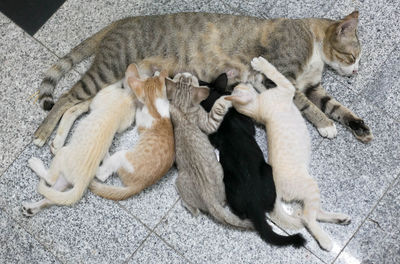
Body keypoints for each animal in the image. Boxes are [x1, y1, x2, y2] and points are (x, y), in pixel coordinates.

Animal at [20, 64, 139, 217]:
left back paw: (35, 164)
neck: (130, 98)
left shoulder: (103, 96)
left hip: (62, 156)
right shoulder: (124, 122)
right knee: (52, 197)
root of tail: (81, 183)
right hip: (64, 182)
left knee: (49, 180)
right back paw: (31, 208)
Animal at [33, 11, 372, 147]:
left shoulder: (313, 86)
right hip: (109, 70)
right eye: (352, 56)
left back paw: (59, 140)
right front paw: (325, 125)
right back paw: (42, 134)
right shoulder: (275, 75)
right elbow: (304, 103)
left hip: (119, 83)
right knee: (65, 98)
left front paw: (357, 125)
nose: (356, 71)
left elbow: (334, 105)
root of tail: (122, 20)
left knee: (77, 106)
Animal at [167, 72, 252, 229]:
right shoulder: (208, 123)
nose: (187, 73)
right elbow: (219, 107)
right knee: (197, 211)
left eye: (184, 76)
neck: (182, 107)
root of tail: (209, 198)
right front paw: (228, 99)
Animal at [227, 56, 352, 251]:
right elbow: (275, 72)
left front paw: (256, 75)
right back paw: (325, 241)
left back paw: (340, 218)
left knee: (307, 212)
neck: (258, 110)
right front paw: (260, 64)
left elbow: (265, 81)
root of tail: (275, 189)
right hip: (310, 186)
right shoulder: (287, 87)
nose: (236, 83)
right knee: (306, 217)